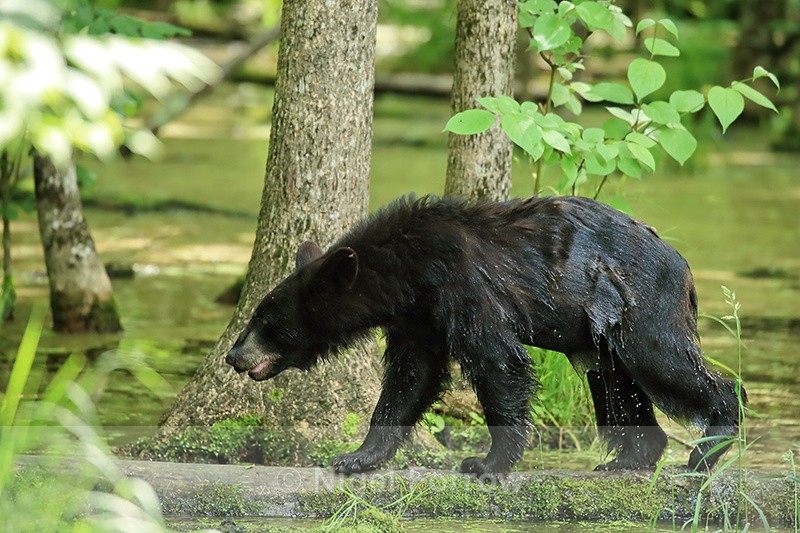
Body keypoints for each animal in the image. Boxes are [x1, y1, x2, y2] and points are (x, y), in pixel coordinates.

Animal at [225, 195, 743, 478]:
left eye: (267, 322)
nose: (233, 356)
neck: (411, 272)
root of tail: (683, 264)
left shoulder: (465, 285)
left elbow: (498, 361)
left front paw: (486, 464)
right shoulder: (418, 316)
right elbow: (410, 378)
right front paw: (357, 457)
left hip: (640, 305)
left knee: (666, 363)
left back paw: (708, 447)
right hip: (601, 334)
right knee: (616, 386)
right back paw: (630, 459)